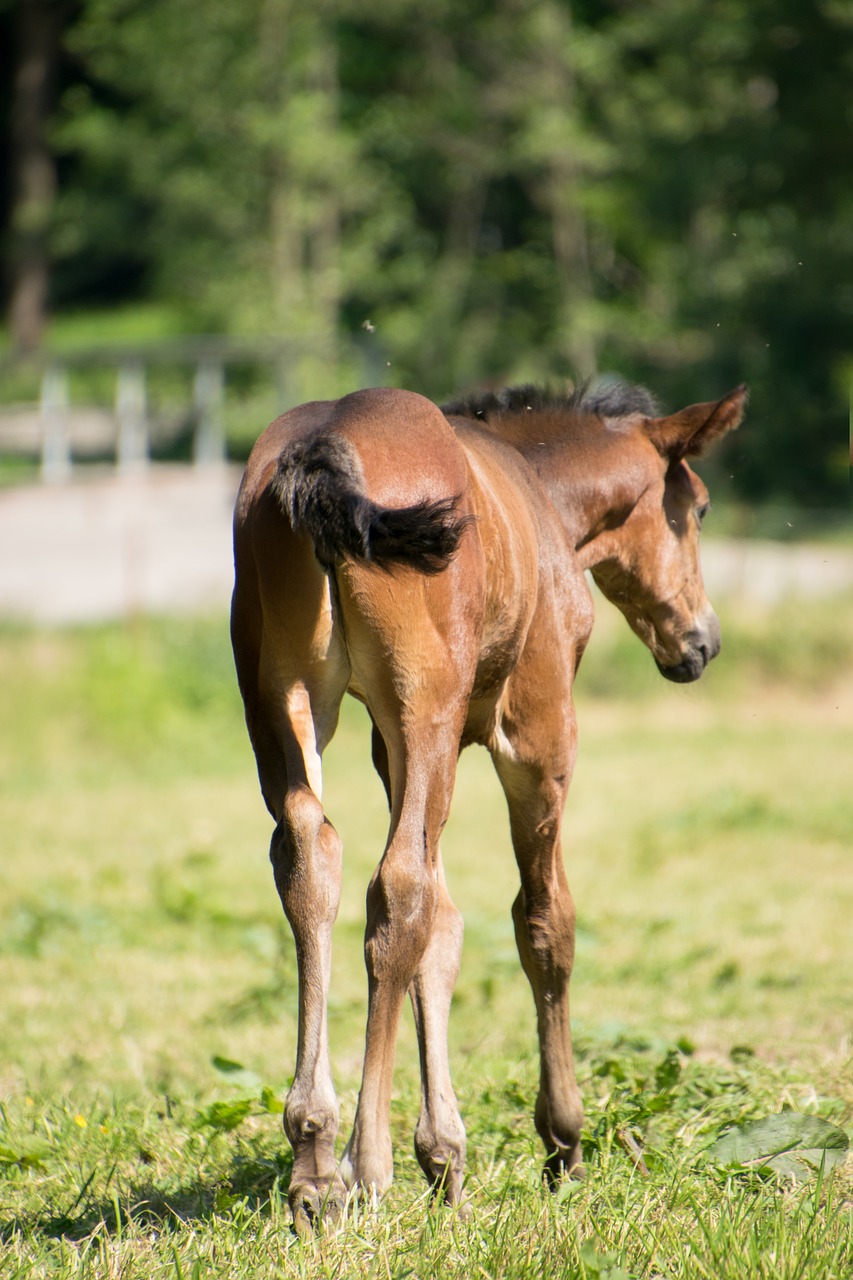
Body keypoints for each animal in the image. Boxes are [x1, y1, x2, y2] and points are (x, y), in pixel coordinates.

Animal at [229, 376, 742, 1228]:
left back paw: (314, 1155)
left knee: (313, 863)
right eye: (695, 509)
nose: (701, 643)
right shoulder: (535, 736)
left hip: (285, 701)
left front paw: (445, 1154)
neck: (541, 500)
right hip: (423, 706)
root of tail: (322, 451)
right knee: (395, 890)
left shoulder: (388, 752)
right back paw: (363, 1165)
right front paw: (562, 1143)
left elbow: (444, 927)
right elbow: (542, 921)